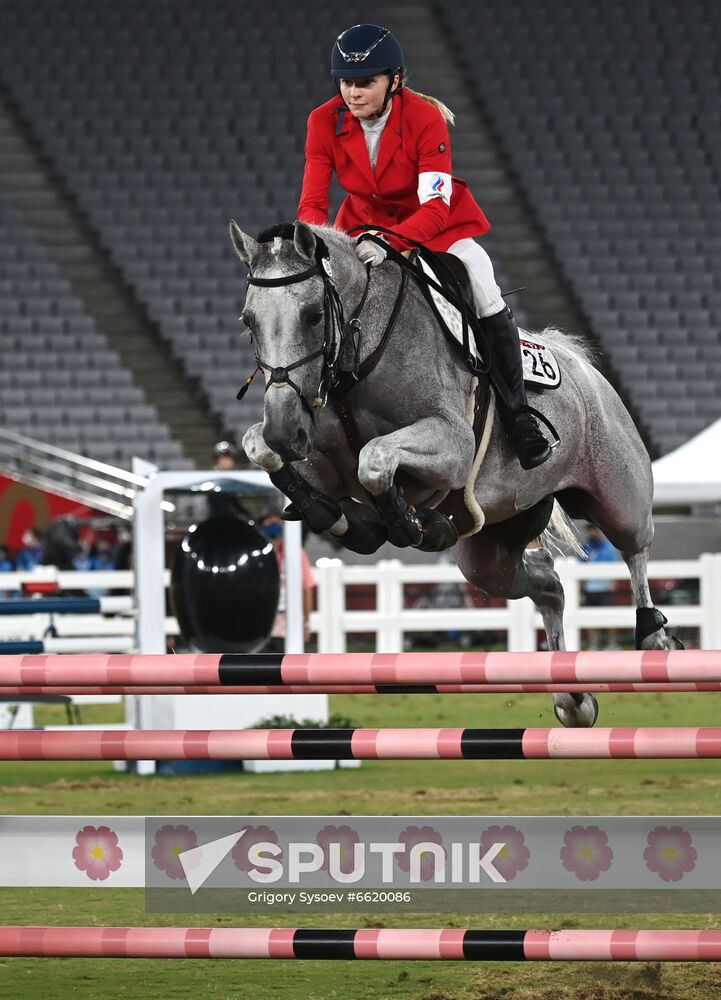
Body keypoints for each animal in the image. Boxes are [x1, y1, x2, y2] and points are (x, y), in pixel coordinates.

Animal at [231, 221, 676, 728]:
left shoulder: (451, 446)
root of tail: (579, 361)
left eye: (312, 315)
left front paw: (408, 524)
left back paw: (653, 639)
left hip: (617, 496)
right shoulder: (317, 458)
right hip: (491, 553)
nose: (285, 430)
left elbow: (374, 459)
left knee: (635, 551)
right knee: (547, 583)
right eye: (248, 321)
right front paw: (352, 521)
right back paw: (573, 698)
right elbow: (261, 449)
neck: (356, 360)